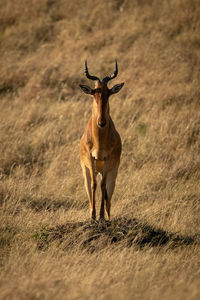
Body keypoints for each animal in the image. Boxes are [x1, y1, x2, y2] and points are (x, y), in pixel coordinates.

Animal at [79, 61, 123, 220]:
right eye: (94, 92)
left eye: (108, 93)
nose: (101, 122)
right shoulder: (89, 158)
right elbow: (94, 184)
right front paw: (93, 216)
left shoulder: (108, 160)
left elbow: (103, 186)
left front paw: (101, 216)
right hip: (85, 170)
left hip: (112, 172)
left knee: (108, 195)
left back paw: (108, 216)